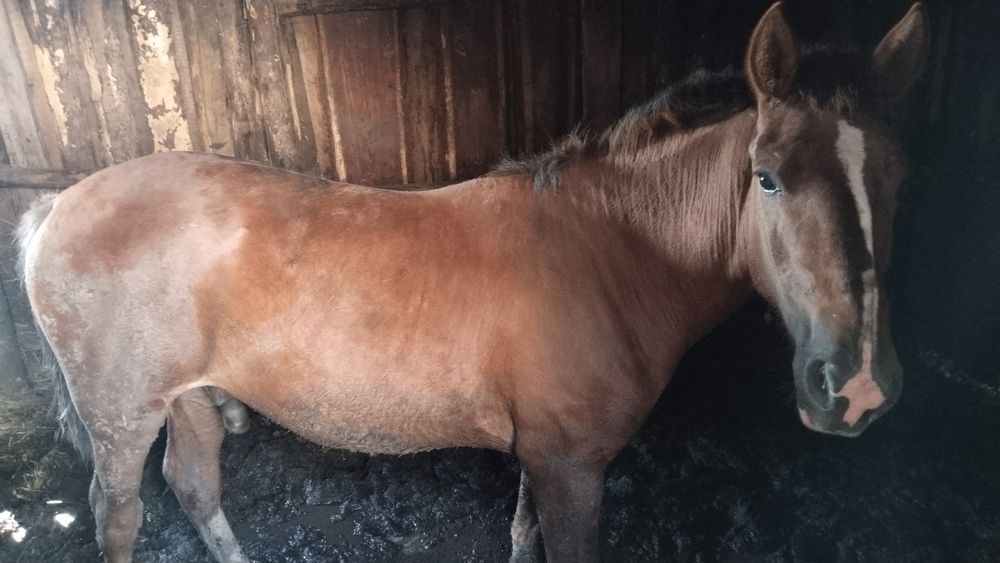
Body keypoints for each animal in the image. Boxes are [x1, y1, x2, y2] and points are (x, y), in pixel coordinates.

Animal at [15, 3, 926, 561]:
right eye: (767, 177)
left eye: (900, 174)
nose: (857, 387)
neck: (609, 253)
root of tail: (57, 204)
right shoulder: (573, 467)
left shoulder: (546, 455)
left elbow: (521, 540)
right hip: (124, 415)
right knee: (120, 515)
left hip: (191, 399)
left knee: (194, 485)